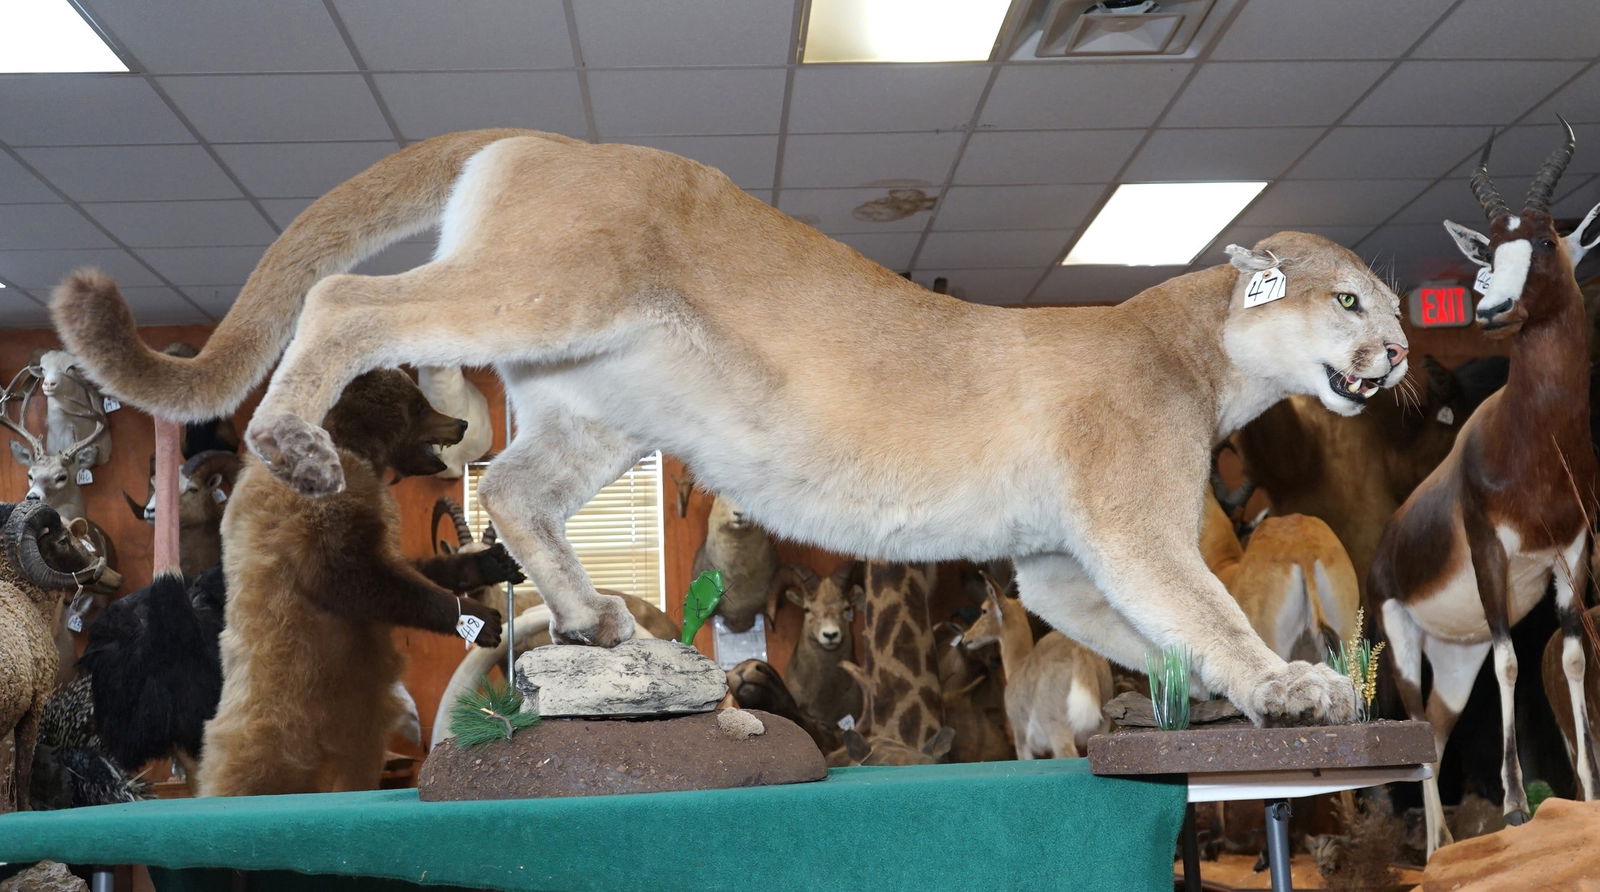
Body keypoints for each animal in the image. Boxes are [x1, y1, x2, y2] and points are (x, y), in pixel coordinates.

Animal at [52, 129, 1412, 725]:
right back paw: (292, 445)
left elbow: (1143, 630)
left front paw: (1199, 696)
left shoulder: (1060, 560)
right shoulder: (1128, 526)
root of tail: (535, 131)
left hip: (601, 397)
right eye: (1349, 300)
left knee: (514, 482)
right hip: (551, 289)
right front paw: (1288, 681)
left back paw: (594, 620)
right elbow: (1205, 604)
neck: (1206, 357)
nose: (1398, 353)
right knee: (346, 299)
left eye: (1396, 304)